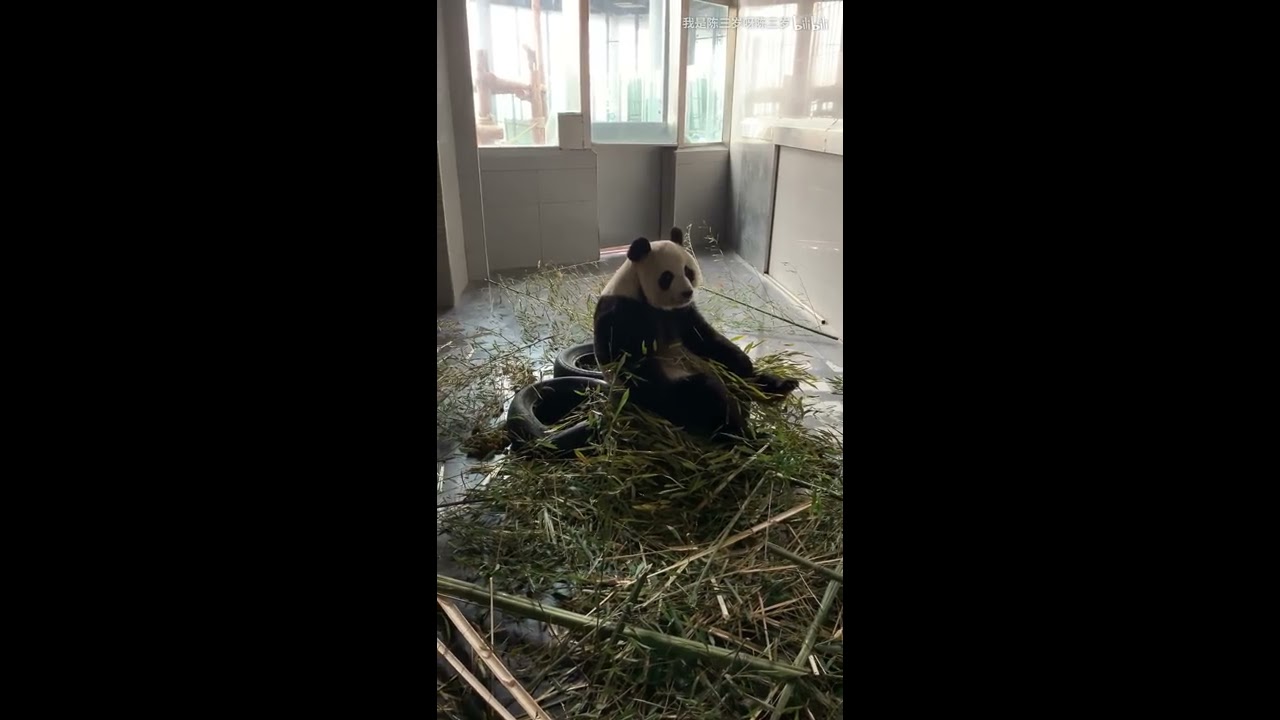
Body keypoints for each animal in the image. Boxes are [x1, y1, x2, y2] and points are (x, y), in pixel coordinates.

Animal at [592, 227, 799, 440]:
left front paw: (743, 362)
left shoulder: (681, 313)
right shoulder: (623, 313)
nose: (687, 292)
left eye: (688, 271)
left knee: (741, 378)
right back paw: (746, 433)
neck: (639, 291)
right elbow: (633, 364)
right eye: (667, 277)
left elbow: (704, 338)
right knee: (703, 397)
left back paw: (779, 385)